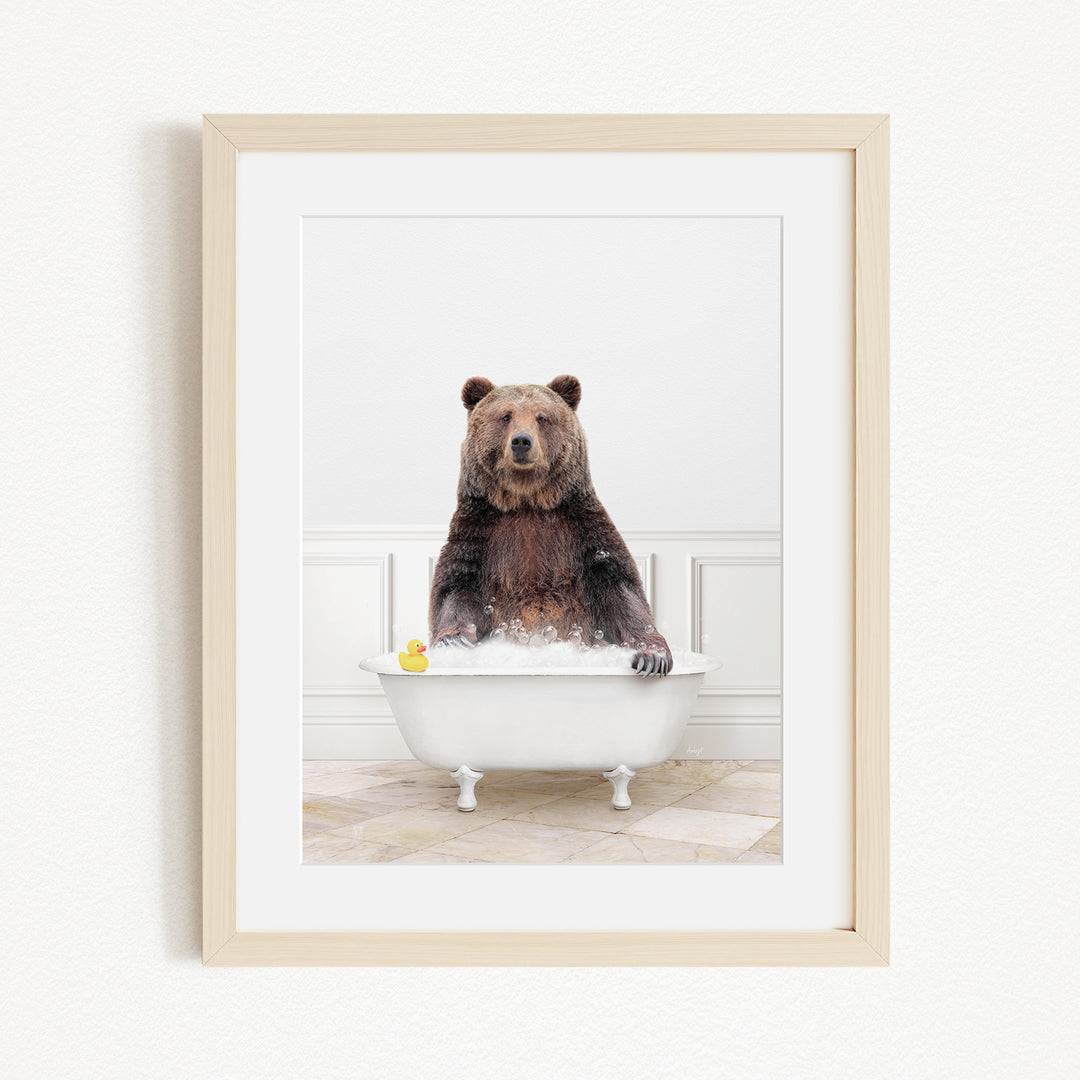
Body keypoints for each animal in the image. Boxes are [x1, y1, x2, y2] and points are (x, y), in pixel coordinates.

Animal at [429, 375, 673, 677]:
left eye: (542, 417)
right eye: (505, 415)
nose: (522, 441)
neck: (527, 501)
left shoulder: (581, 530)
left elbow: (621, 588)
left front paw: (652, 657)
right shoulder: (480, 532)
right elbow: (456, 588)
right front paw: (453, 642)